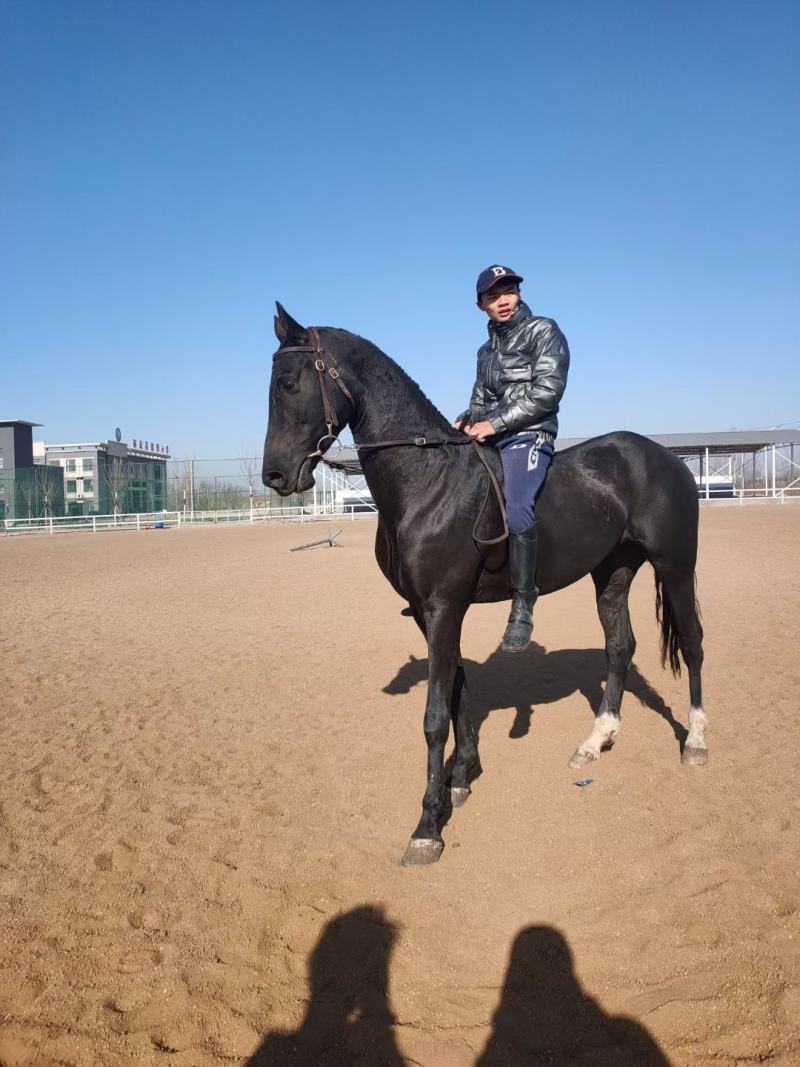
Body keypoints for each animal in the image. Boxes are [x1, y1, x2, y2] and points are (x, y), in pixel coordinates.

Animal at [262, 304, 707, 866]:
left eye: (289, 383)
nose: (275, 476)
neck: (428, 478)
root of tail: (663, 458)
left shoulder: (444, 606)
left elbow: (434, 714)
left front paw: (427, 826)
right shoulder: (429, 612)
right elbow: (456, 689)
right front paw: (462, 775)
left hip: (676, 565)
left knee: (692, 642)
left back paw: (695, 741)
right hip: (612, 572)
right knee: (619, 647)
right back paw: (596, 741)